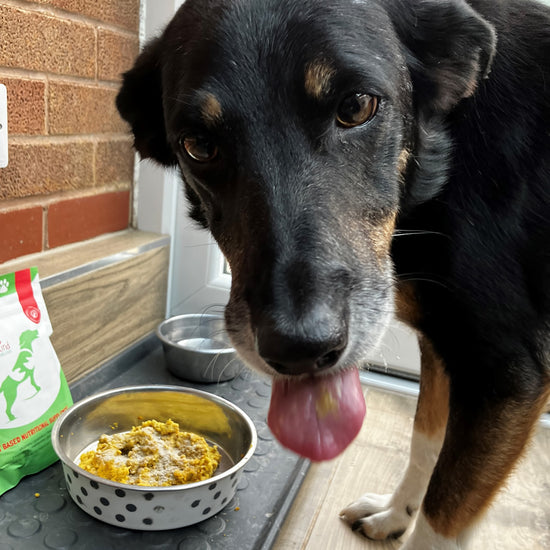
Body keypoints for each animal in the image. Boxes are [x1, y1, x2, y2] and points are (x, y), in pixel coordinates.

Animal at [117, 2, 550, 548]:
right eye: (197, 144)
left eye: (358, 106)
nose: (299, 350)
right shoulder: (444, 344)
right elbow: (425, 438)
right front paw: (395, 513)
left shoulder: (505, 372)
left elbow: (442, 517)